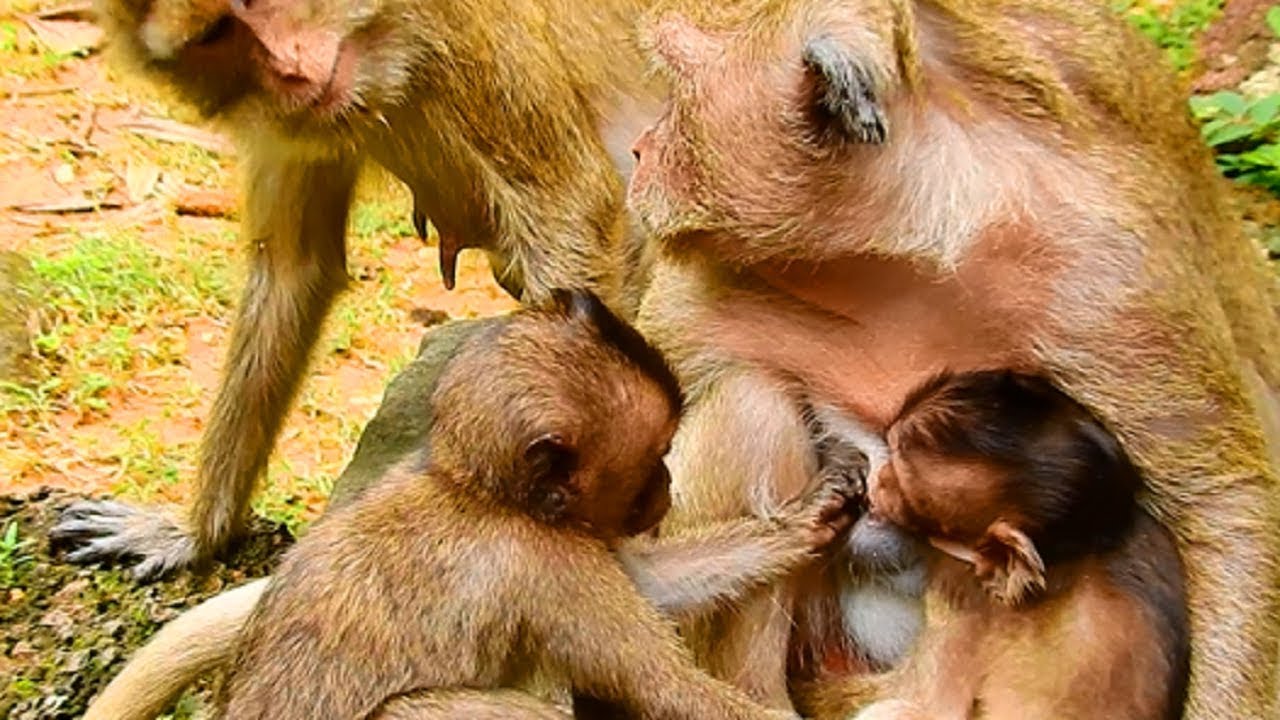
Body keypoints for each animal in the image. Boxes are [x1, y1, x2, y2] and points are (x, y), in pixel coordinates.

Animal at [49, 0, 668, 578]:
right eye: (215, 33)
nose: (290, 69)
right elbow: (292, 270)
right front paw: (195, 534)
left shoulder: (466, 27)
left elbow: (573, 213)